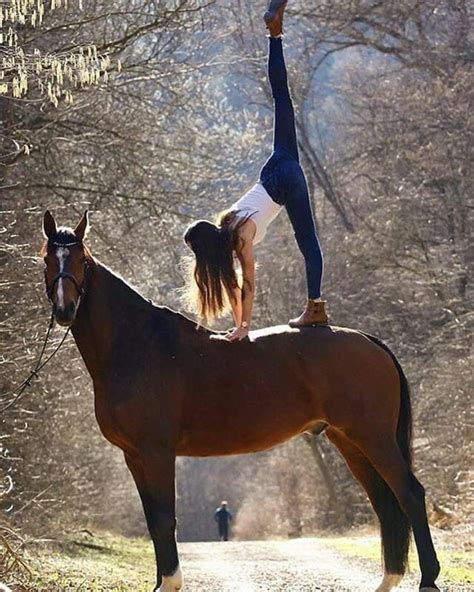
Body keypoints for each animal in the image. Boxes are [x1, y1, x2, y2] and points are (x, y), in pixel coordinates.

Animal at [40, 210, 440, 588]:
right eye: (46, 259)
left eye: (81, 260)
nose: (64, 310)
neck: (138, 344)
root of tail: (369, 340)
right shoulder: (133, 455)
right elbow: (153, 520)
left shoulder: (156, 452)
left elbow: (165, 519)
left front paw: (170, 582)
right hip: (349, 441)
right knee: (385, 502)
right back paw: (389, 579)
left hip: (374, 438)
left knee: (410, 494)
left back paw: (428, 578)